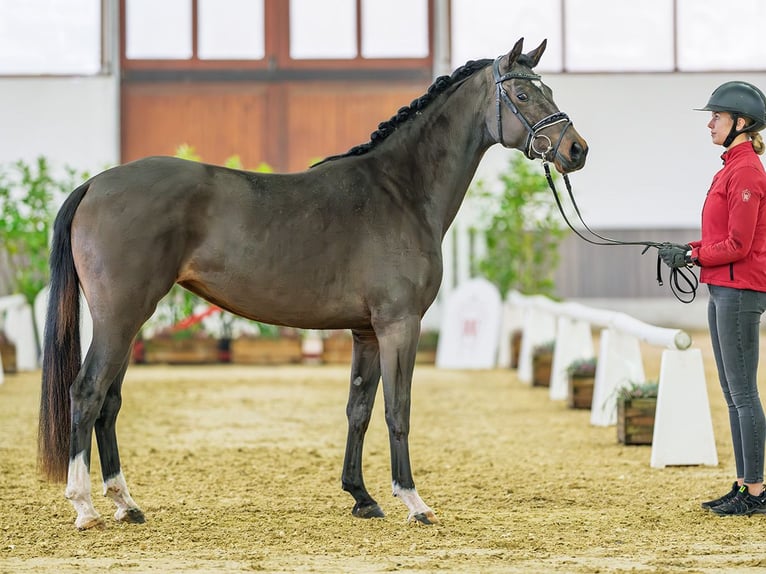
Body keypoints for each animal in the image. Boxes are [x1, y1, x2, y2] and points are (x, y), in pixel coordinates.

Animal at [39, 37, 588, 532]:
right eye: (523, 94)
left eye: (548, 89)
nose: (576, 149)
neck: (400, 191)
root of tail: (96, 184)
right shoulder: (399, 324)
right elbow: (398, 409)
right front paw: (413, 502)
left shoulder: (366, 332)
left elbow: (358, 409)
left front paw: (362, 497)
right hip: (121, 316)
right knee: (87, 393)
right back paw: (84, 507)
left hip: (130, 319)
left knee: (109, 403)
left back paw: (126, 504)